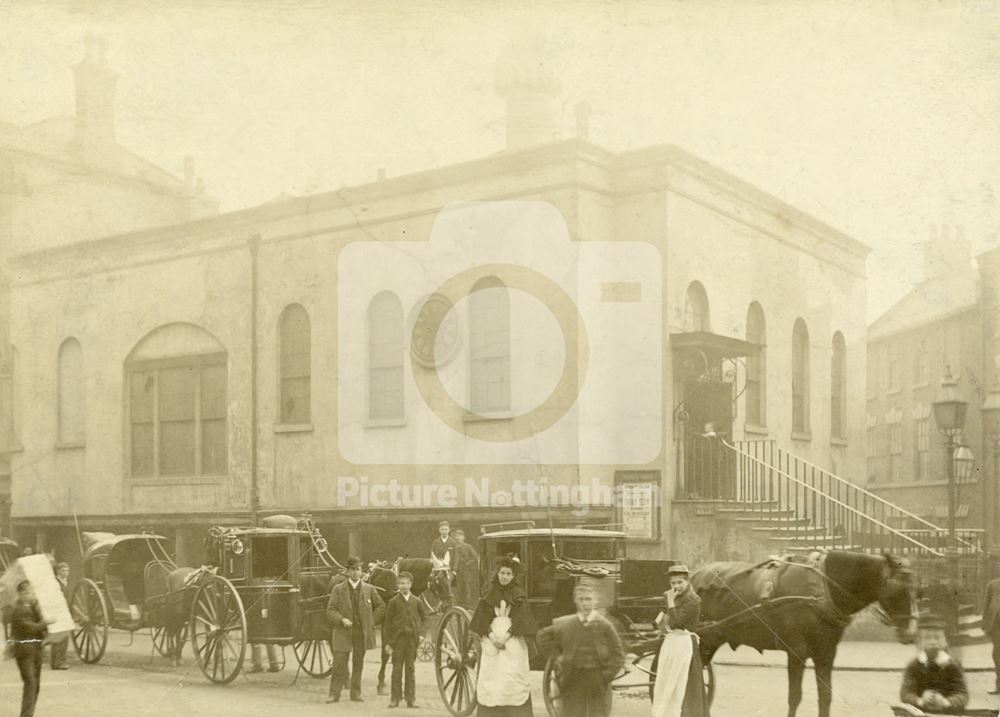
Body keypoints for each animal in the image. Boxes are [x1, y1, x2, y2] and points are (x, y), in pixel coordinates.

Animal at [692, 548, 916, 716]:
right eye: (897, 590)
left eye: (918, 591)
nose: (910, 634)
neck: (822, 588)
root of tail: (695, 575)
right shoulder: (796, 652)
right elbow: (795, 697)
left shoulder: (826, 653)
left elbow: (825, 696)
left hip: (710, 640)